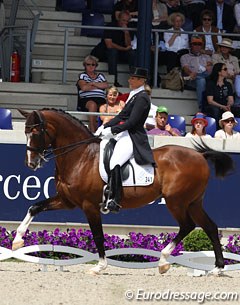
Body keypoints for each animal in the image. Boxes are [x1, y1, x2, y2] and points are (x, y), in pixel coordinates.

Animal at [12, 108, 233, 274]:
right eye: (25, 132)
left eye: (36, 133)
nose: (31, 163)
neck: (80, 156)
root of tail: (200, 156)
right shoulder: (67, 201)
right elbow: (34, 207)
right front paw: (17, 241)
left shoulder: (89, 205)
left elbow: (98, 235)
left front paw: (100, 266)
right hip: (193, 202)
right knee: (210, 227)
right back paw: (217, 269)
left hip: (176, 201)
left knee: (187, 225)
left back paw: (163, 261)